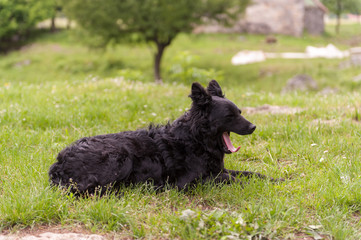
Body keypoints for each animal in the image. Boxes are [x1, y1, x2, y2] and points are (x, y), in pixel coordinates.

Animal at [48, 80, 272, 195]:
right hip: (121, 158)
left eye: (240, 112)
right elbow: (232, 179)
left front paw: (276, 180)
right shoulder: (190, 182)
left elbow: (252, 173)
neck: (195, 140)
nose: (253, 127)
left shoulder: (219, 169)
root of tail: (59, 163)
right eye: (230, 116)